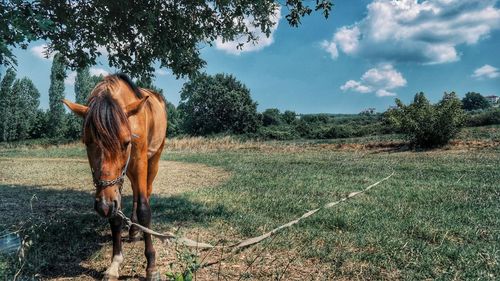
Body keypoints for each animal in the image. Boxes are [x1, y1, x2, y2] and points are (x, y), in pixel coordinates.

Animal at [62, 73, 166, 278]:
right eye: (87, 142)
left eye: (126, 142)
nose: (103, 206)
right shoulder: (115, 185)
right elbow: (116, 214)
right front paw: (115, 263)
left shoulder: (140, 162)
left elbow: (144, 210)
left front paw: (151, 265)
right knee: (134, 194)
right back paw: (133, 230)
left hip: (154, 159)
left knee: (146, 192)